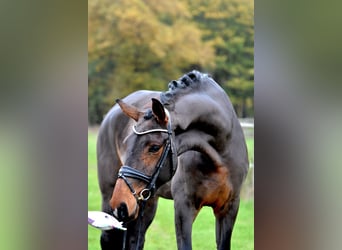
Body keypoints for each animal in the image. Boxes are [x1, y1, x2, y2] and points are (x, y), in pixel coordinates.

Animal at [96, 70, 248, 250]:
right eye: (126, 143)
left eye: (154, 147)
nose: (120, 204)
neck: (219, 156)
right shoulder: (184, 207)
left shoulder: (229, 208)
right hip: (112, 196)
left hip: (146, 202)